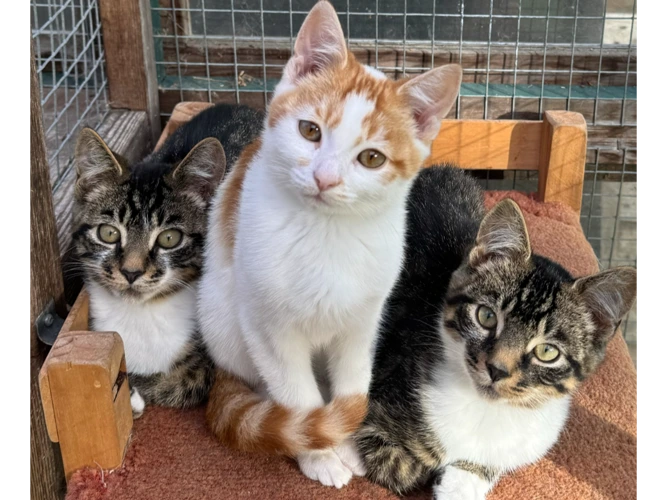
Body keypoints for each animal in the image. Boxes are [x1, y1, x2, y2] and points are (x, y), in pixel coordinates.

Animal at [71, 103, 264, 416]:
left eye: (169, 238)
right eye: (109, 233)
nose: (131, 272)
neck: (143, 313)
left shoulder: (209, 362)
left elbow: (180, 383)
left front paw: (132, 392)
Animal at [196, 0, 462, 486]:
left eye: (372, 158)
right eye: (310, 131)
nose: (325, 178)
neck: (326, 232)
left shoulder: (364, 321)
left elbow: (352, 379)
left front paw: (347, 444)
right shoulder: (269, 328)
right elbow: (296, 395)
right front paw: (317, 452)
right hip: (223, 316)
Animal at [358, 167, 640, 500]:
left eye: (547, 352)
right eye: (487, 316)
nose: (497, 369)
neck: (487, 411)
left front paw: (463, 480)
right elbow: (400, 466)